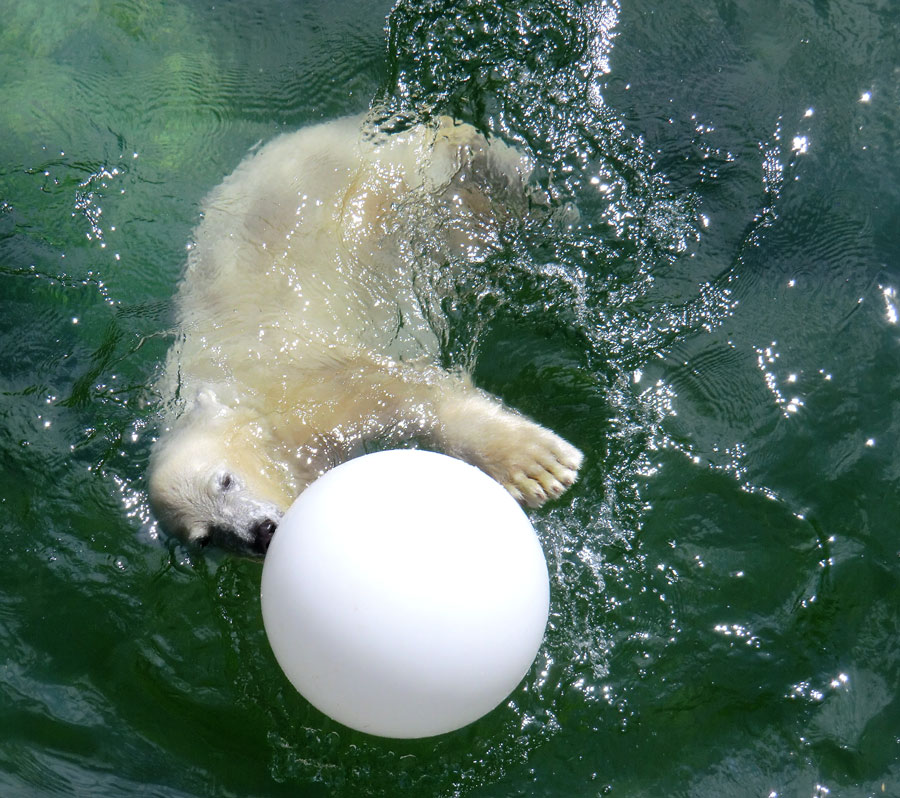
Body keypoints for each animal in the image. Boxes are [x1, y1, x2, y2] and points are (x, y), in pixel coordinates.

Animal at [148, 114, 584, 556]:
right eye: (207, 537)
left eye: (224, 480)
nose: (260, 533)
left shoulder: (298, 382)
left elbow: (405, 394)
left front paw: (536, 466)